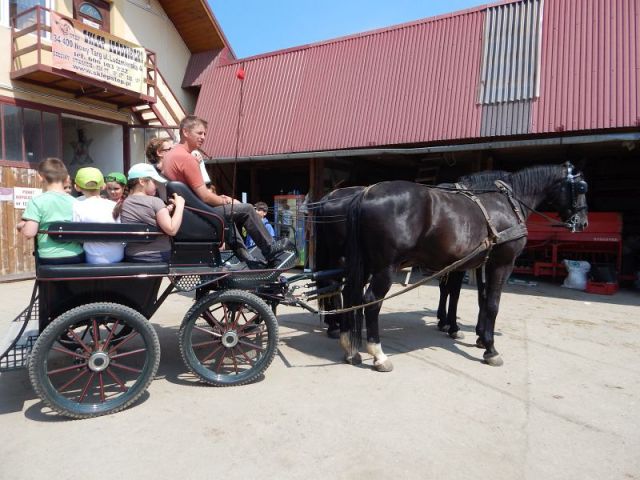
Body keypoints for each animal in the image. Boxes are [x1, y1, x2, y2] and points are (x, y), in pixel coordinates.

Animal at [338, 162, 588, 372]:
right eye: (582, 187)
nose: (583, 222)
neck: (507, 204)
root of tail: (366, 193)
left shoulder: (479, 263)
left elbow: (479, 299)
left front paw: (477, 337)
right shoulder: (502, 264)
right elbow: (492, 304)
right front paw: (490, 349)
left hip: (364, 264)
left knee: (350, 294)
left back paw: (350, 348)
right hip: (385, 267)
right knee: (371, 300)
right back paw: (378, 354)